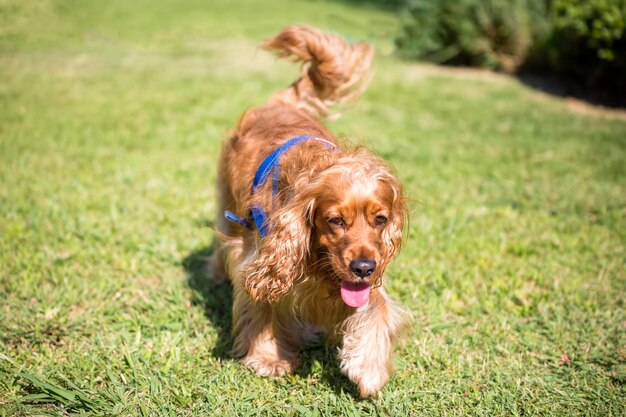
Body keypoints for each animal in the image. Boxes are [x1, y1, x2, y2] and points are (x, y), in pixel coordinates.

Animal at [213, 26, 410, 396]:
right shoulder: (258, 257)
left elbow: (376, 307)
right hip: (226, 204)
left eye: (380, 220)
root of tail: (281, 103)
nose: (364, 268)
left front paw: (369, 368)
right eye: (335, 221)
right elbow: (261, 305)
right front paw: (268, 358)